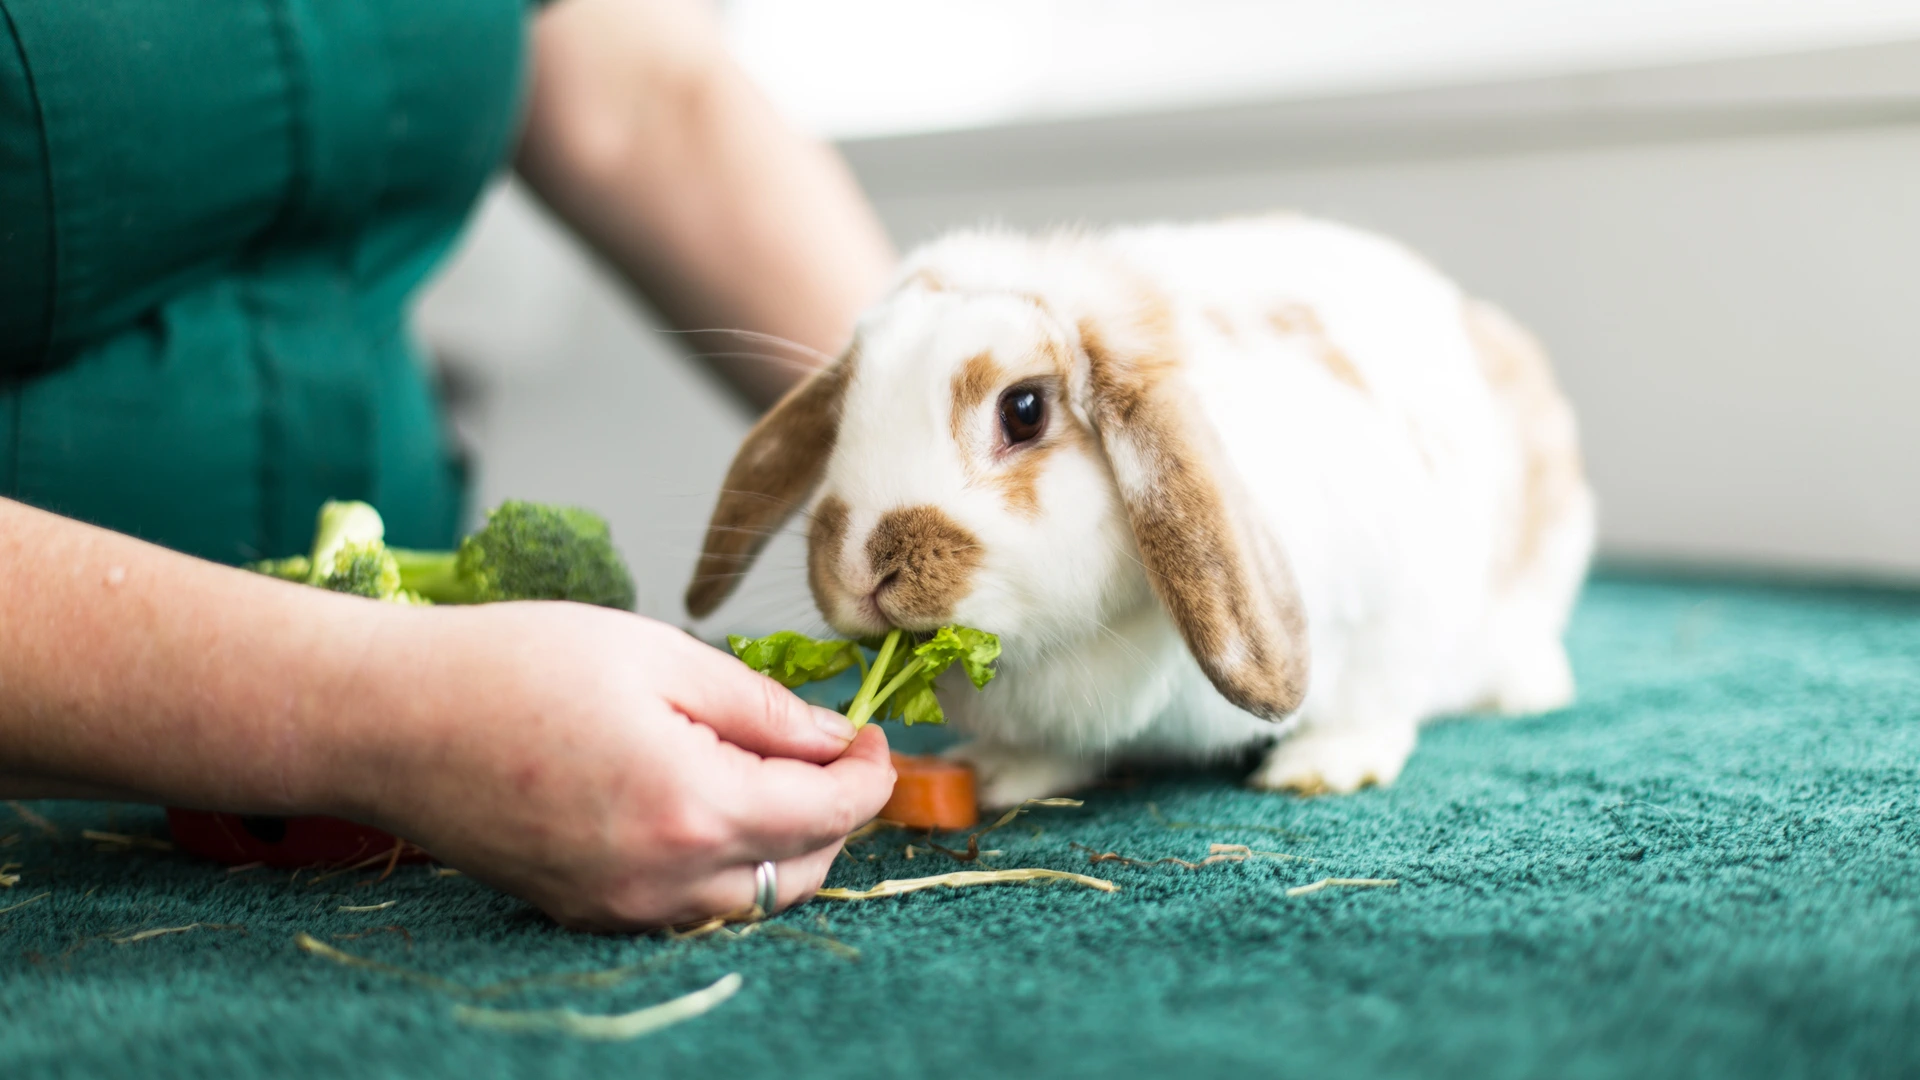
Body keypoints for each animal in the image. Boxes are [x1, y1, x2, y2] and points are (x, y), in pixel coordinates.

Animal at [683, 214, 1597, 803]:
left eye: (1023, 410)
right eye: (847, 413)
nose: (861, 570)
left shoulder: (1390, 609)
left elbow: (1369, 700)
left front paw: (1321, 769)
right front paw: (997, 774)